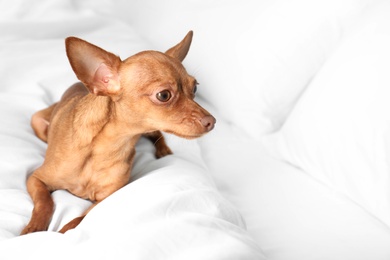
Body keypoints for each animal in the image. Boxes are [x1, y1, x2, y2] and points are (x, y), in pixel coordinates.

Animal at [20, 31, 216, 236]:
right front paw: (34, 228)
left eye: (195, 88)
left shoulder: (104, 200)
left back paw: (163, 150)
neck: (106, 147)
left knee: (157, 135)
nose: (211, 121)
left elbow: (78, 220)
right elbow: (45, 202)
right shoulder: (36, 179)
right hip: (37, 122)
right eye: (164, 95)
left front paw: (63, 232)